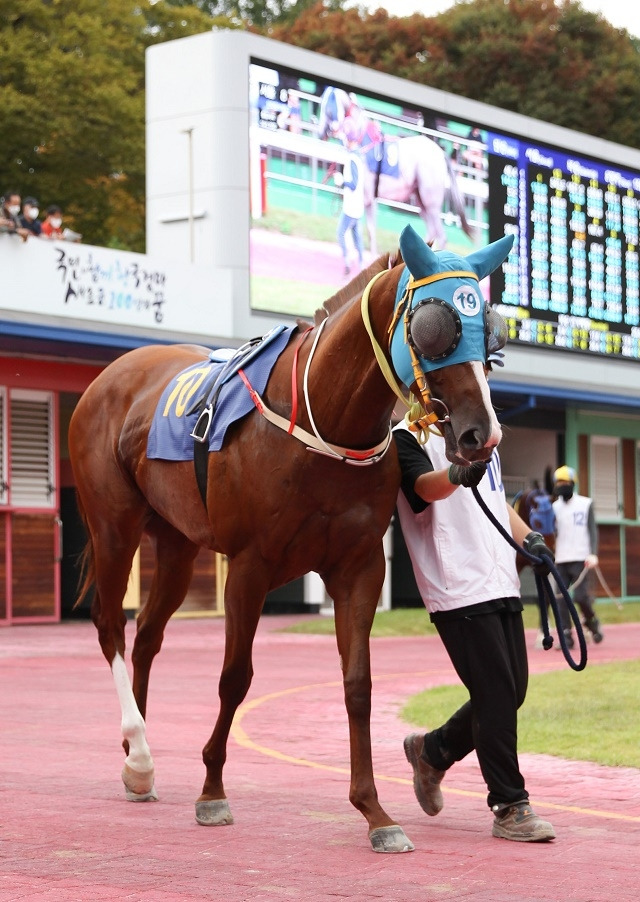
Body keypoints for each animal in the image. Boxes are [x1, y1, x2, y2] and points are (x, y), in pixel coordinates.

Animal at [67, 224, 512, 856]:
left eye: (489, 329)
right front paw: (212, 791)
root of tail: (112, 375)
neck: (325, 421)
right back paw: (140, 750)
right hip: (114, 524)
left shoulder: (358, 567)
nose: (481, 434)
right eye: (433, 325)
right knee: (110, 625)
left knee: (147, 635)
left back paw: (138, 758)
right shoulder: (250, 566)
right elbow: (235, 678)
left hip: (176, 541)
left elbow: (357, 683)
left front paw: (374, 811)